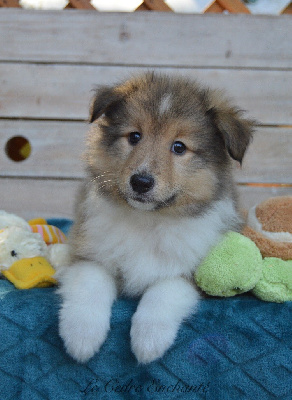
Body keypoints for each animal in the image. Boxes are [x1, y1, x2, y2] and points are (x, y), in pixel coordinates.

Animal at [58, 71, 253, 362]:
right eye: (134, 136)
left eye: (179, 147)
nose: (140, 182)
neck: (148, 220)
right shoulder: (89, 253)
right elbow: (90, 285)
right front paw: (81, 337)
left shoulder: (190, 273)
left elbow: (162, 294)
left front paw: (148, 341)